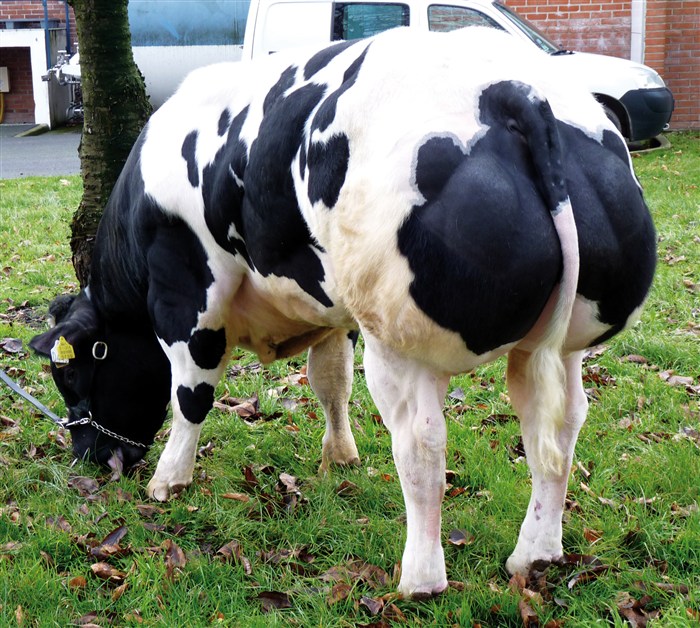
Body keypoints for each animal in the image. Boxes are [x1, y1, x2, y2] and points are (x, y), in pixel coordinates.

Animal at [31, 28, 656, 600]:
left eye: (71, 372)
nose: (90, 458)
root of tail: (511, 90)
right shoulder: (330, 309)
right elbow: (330, 383)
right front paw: (340, 458)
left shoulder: (188, 293)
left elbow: (192, 395)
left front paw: (168, 481)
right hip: (562, 343)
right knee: (560, 424)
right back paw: (536, 554)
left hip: (400, 343)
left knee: (422, 443)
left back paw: (421, 579)